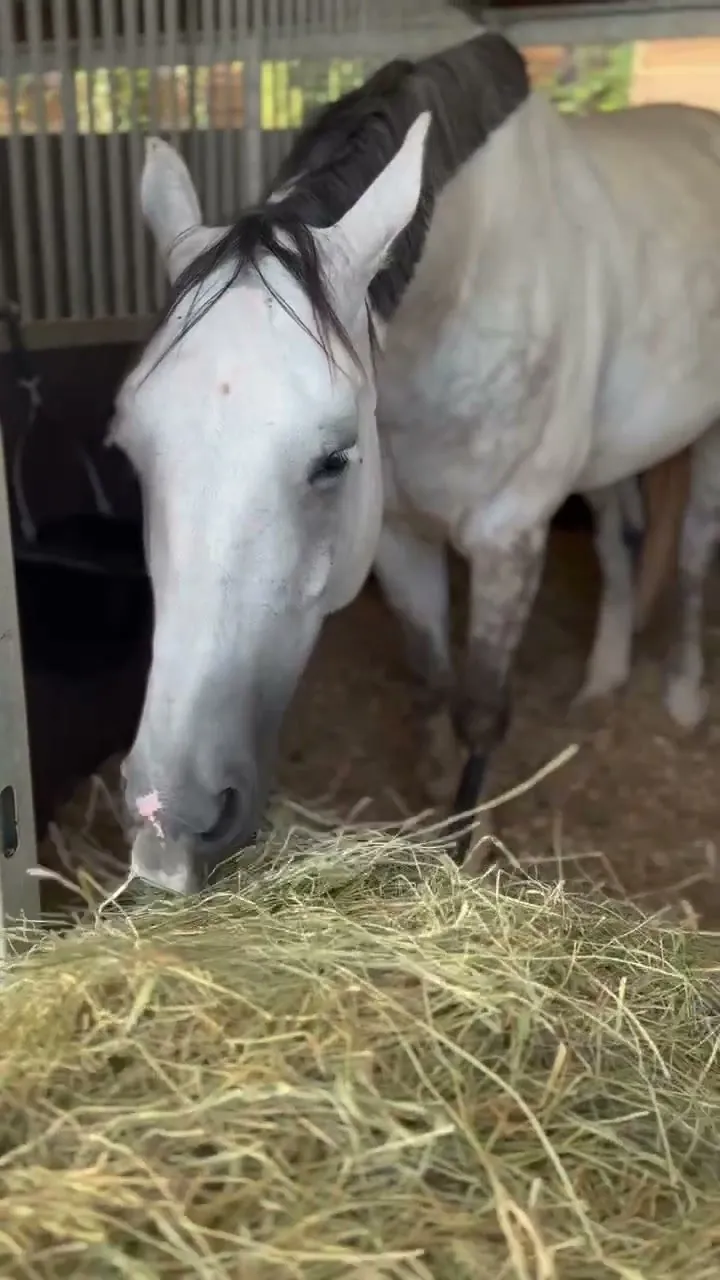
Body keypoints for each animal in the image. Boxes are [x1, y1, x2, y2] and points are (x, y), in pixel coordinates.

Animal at [111, 30, 720, 893]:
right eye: (129, 450)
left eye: (334, 458)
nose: (169, 821)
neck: (464, 286)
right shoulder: (397, 535)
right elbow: (431, 675)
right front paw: (432, 786)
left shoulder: (509, 537)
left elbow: (481, 707)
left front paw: (466, 840)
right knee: (621, 538)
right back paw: (603, 680)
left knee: (695, 553)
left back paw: (684, 692)